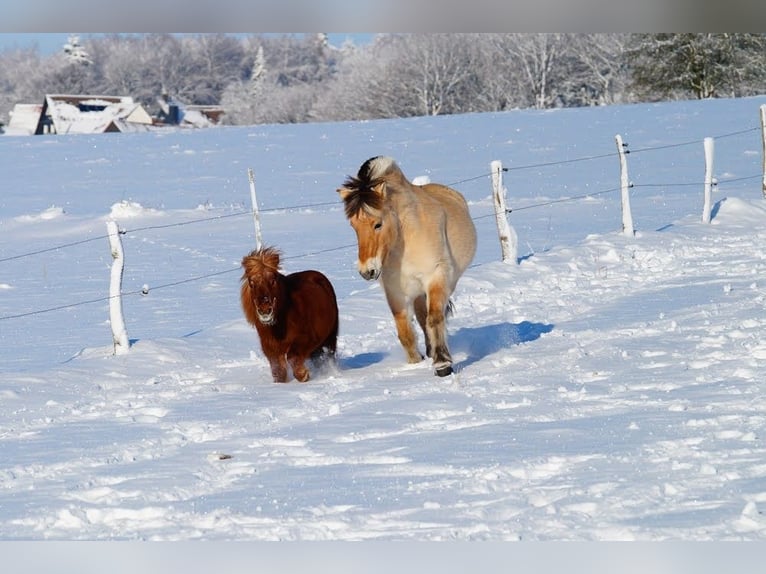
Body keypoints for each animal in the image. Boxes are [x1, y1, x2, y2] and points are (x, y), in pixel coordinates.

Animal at [240, 246, 339, 383]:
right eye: (251, 282)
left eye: (273, 280)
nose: (265, 310)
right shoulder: (270, 348)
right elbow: (278, 371)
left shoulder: (306, 339)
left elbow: (292, 356)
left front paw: (303, 374)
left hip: (330, 338)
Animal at [337, 156, 477, 377]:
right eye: (353, 226)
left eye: (377, 224)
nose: (367, 271)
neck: (404, 242)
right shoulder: (395, 289)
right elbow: (405, 330)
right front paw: (414, 363)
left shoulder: (436, 276)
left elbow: (435, 318)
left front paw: (442, 365)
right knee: (420, 316)